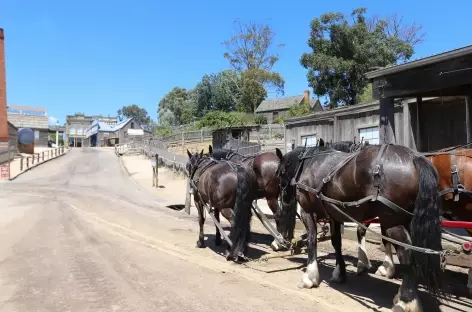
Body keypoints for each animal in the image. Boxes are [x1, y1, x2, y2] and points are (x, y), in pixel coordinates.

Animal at [272, 141, 442, 312]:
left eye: (279, 173)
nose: (284, 198)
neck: (307, 164)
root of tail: (414, 158)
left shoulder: (308, 212)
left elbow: (312, 240)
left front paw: (310, 276)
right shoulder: (334, 215)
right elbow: (336, 243)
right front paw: (339, 273)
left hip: (392, 221)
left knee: (406, 251)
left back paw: (407, 300)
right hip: (407, 219)